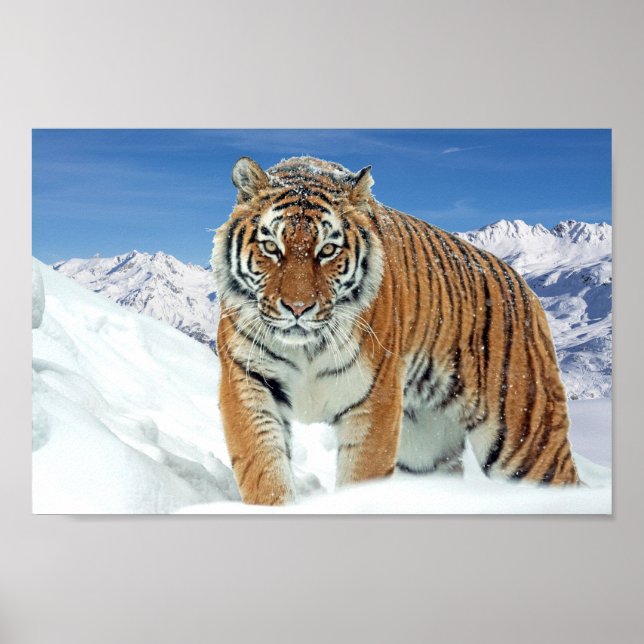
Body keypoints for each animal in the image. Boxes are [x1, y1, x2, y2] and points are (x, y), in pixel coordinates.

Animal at [211, 155, 579, 505]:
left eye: (327, 250)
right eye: (271, 247)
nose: (298, 308)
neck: (307, 348)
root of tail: (523, 284)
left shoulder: (374, 399)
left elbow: (362, 475)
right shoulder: (247, 379)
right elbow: (263, 468)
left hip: (525, 436)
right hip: (426, 448)